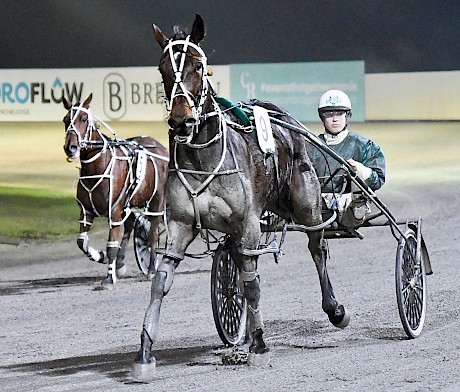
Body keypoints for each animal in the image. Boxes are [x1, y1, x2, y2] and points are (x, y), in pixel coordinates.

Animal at [62, 95, 168, 284]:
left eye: (84, 118)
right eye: (65, 120)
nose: (71, 147)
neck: (98, 166)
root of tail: (160, 147)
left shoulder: (114, 212)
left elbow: (111, 245)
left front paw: (109, 277)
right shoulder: (86, 212)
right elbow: (81, 242)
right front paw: (100, 255)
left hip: (157, 201)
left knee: (153, 235)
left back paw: (150, 269)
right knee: (130, 225)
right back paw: (120, 263)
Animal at [131, 15, 350, 380]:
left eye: (197, 65)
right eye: (163, 69)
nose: (181, 121)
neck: (203, 158)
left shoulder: (248, 222)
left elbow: (251, 284)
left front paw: (260, 346)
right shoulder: (180, 224)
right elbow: (161, 281)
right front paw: (145, 353)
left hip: (305, 203)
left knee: (316, 248)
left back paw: (333, 309)